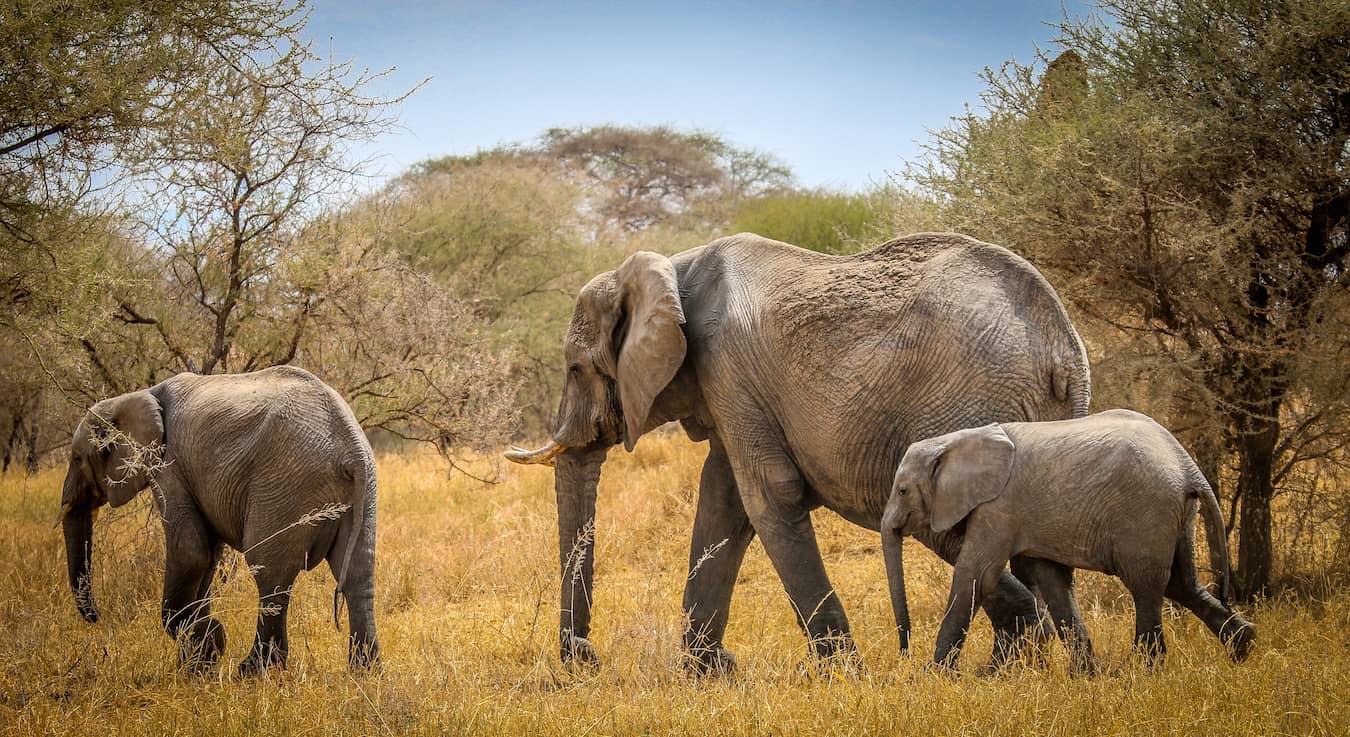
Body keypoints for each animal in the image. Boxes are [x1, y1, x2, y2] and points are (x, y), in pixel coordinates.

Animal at [55, 364, 378, 674]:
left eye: (77, 459)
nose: (97, 617)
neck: (136, 396)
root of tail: (351, 447)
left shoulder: (168, 465)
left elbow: (191, 552)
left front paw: (209, 642)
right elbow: (209, 555)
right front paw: (196, 661)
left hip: (285, 485)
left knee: (270, 574)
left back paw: (252, 670)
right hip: (362, 491)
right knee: (358, 573)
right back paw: (364, 670)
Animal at [502, 232, 1090, 669]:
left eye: (575, 368)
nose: (585, 655)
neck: (671, 267)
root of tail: (1064, 351)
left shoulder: (728, 368)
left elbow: (768, 495)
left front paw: (841, 677)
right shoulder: (728, 389)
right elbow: (723, 501)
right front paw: (710, 673)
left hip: (966, 406)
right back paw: (1017, 666)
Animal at [885, 407, 1252, 672]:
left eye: (902, 491)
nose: (904, 657)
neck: (954, 441)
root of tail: (1189, 468)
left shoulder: (998, 508)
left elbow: (976, 576)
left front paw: (934, 676)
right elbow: (1052, 581)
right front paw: (1085, 676)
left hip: (1147, 511)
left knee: (1146, 585)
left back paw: (1143, 671)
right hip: (1177, 515)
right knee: (1181, 582)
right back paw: (1244, 647)